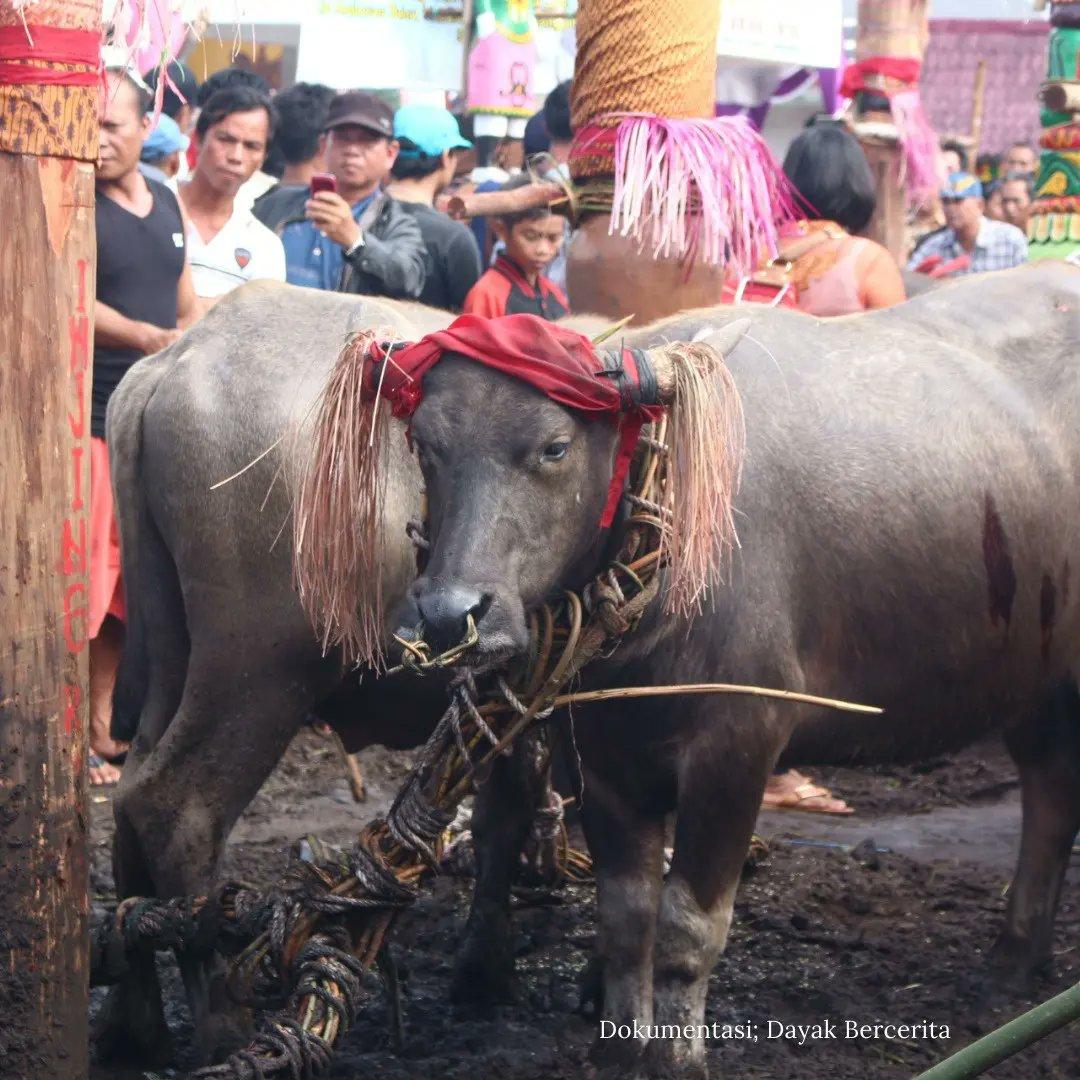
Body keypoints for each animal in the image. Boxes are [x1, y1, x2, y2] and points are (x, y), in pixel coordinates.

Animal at [375, 257, 1075, 1075]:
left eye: (553, 447)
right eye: (426, 445)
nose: (451, 612)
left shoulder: (739, 744)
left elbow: (687, 930)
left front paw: (679, 1057)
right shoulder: (606, 753)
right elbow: (626, 920)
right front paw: (619, 1043)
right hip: (1035, 674)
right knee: (1052, 789)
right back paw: (1016, 957)